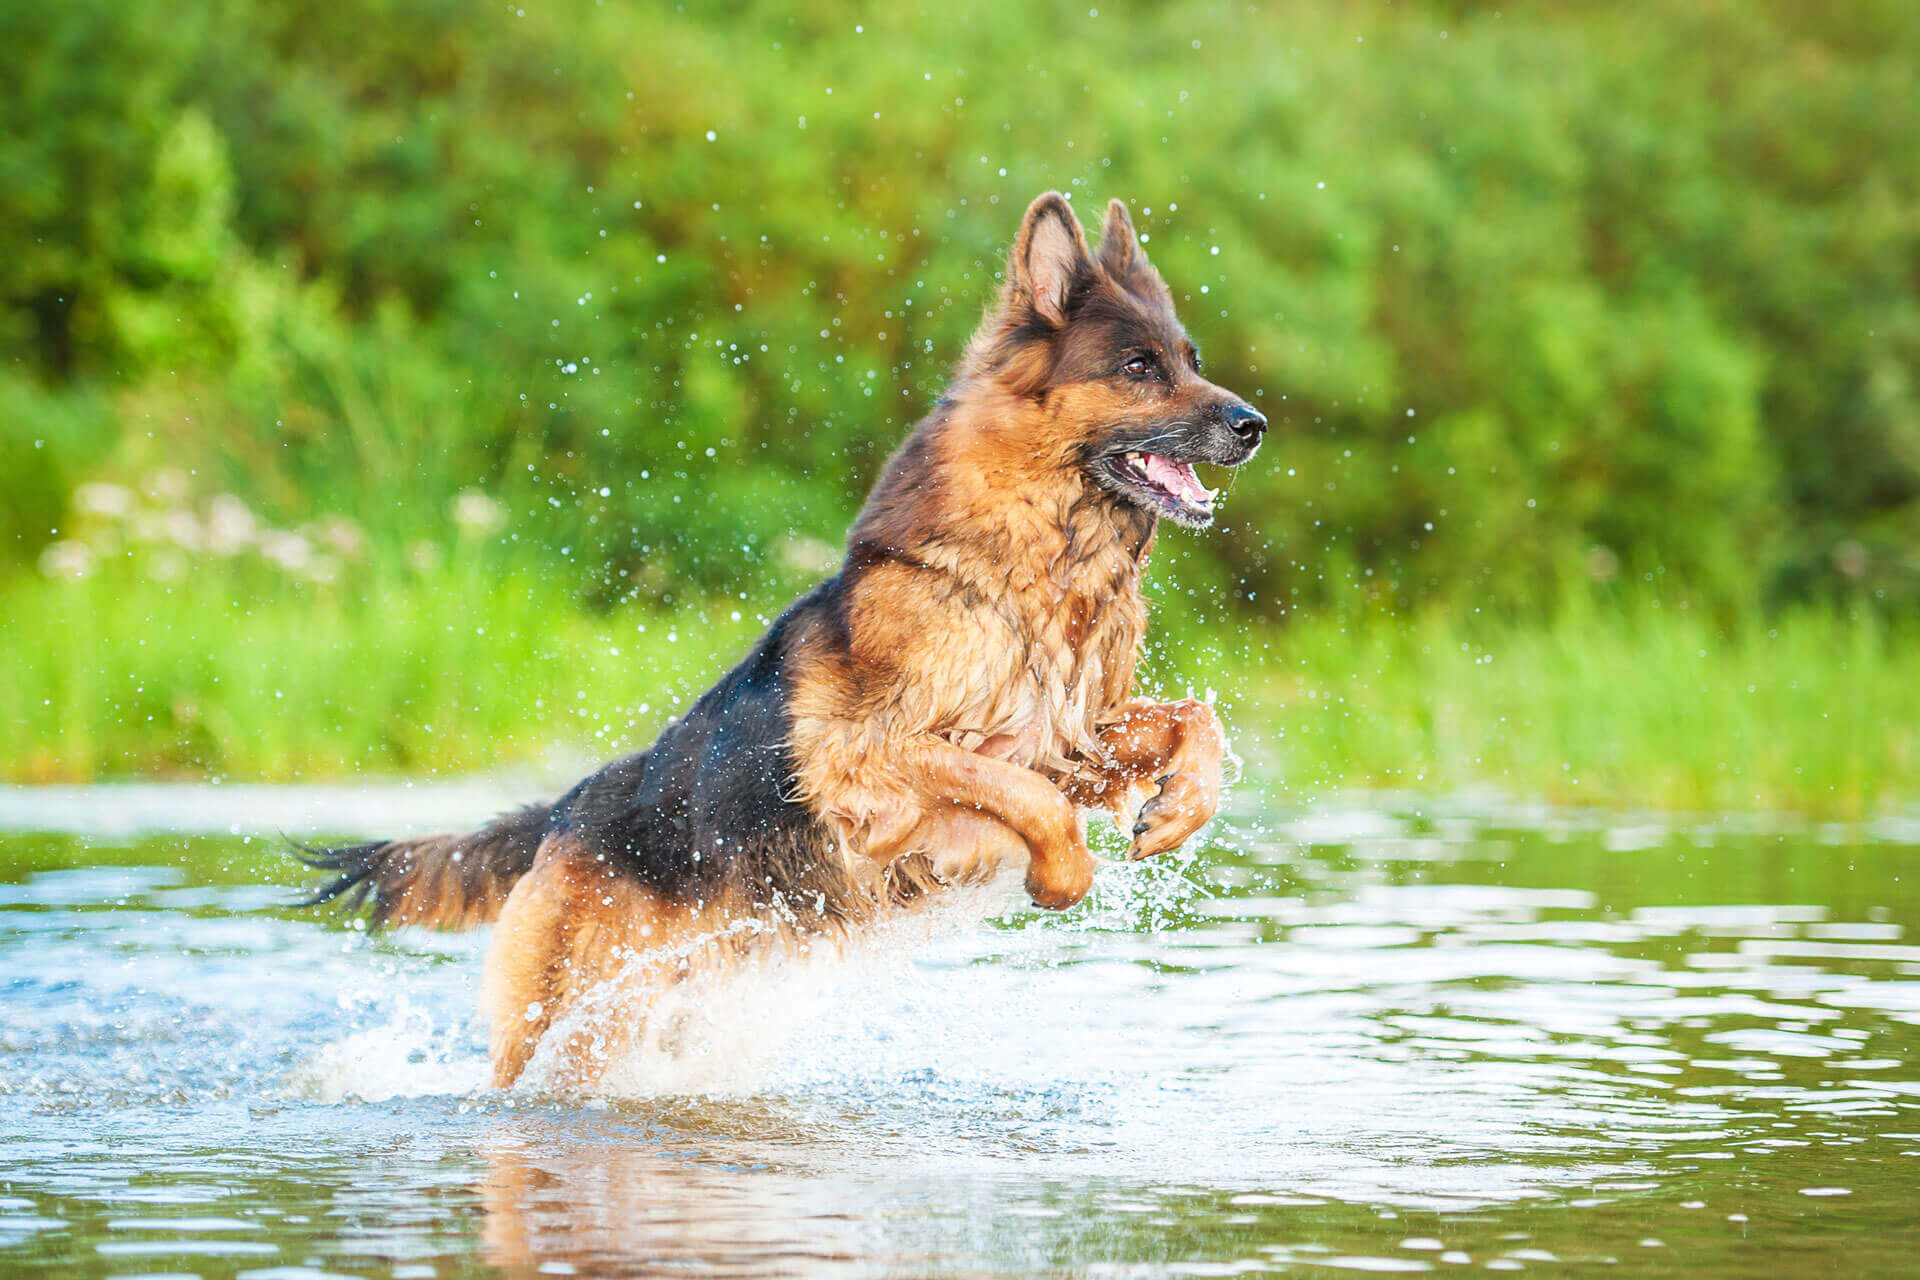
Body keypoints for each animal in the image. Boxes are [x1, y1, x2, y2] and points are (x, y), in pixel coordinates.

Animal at [303, 195, 1259, 1090]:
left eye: (1191, 362)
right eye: (1138, 367)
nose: (1255, 426)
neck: (1035, 567)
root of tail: (563, 814)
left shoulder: (1068, 739)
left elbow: (1193, 722)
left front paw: (1178, 810)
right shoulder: (871, 760)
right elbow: (1021, 794)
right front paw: (1062, 876)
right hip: (566, 1027)